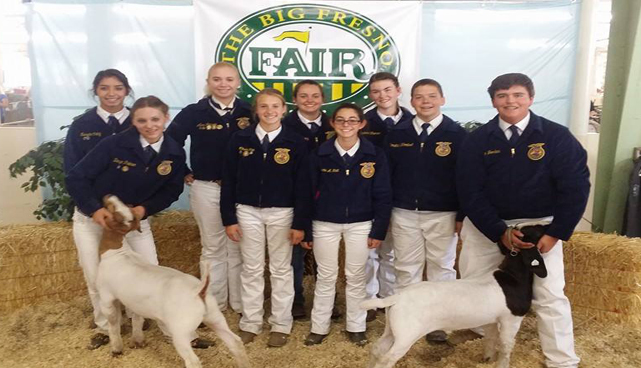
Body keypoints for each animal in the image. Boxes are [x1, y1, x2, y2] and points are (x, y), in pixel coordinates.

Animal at [95, 197, 250, 368]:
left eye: (112, 209)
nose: (109, 196)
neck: (117, 252)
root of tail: (199, 290)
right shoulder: (133, 301)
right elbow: (137, 319)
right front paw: (138, 341)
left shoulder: (106, 297)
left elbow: (113, 324)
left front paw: (116, 349)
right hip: (215, 317)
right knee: (235, 342)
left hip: (181, 330)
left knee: (193, 360)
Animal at [358, 223, 548, 368]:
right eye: (537, 231)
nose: (546, 225)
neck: (512, 277)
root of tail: (396, 298)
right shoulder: (512, 319)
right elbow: (506, 346)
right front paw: (502, 364)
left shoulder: (492, 320)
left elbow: (490, 339)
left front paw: (487, 359)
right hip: (406, 335)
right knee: (386, 358)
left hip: (393, 328)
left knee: (377, 348)